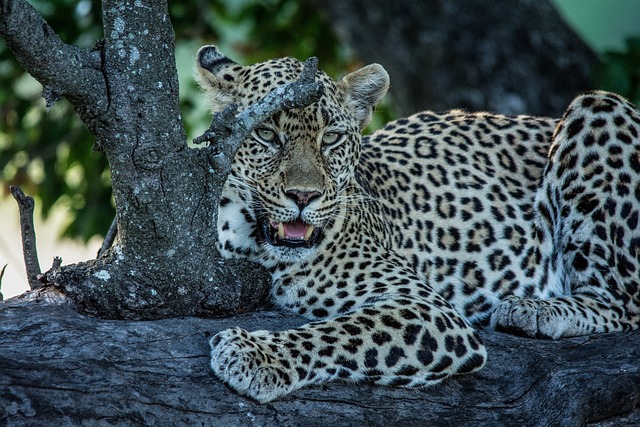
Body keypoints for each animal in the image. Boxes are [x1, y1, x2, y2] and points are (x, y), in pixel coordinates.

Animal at [195, 45, 640, 402]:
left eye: (332, 138)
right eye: (266, 134)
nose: (304, 196)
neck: (252, 243)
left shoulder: (428, 309)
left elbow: (337, 332)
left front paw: (255, 355)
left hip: (601, 107)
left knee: (622, 303)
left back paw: (532, 309)